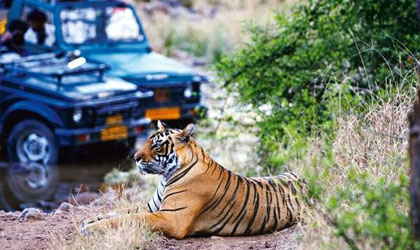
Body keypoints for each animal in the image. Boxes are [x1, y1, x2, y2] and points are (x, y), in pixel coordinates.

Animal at [79, 122, 308, 239]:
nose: (135, 157)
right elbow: (120, 212)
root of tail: (304, 177)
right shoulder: (153, 207)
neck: (165, 177)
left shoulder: (170, 218)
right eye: (146, 140)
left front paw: (90, 228)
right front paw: (89, 220)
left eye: (157, 145)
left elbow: (129, 218)